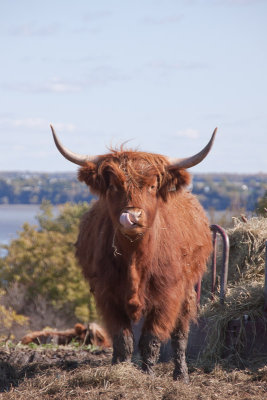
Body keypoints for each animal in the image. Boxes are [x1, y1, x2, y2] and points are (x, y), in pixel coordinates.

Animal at [50, 125, 218, 382]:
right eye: (113, 186)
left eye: (152, 186)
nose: (132, 216)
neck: (135, 259)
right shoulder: (107, 295)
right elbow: (123, 340)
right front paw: (120, 369)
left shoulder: (167, 297)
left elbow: (151, 341)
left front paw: (148, 375)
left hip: (187, 291)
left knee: (180, 334)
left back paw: (181, 375)